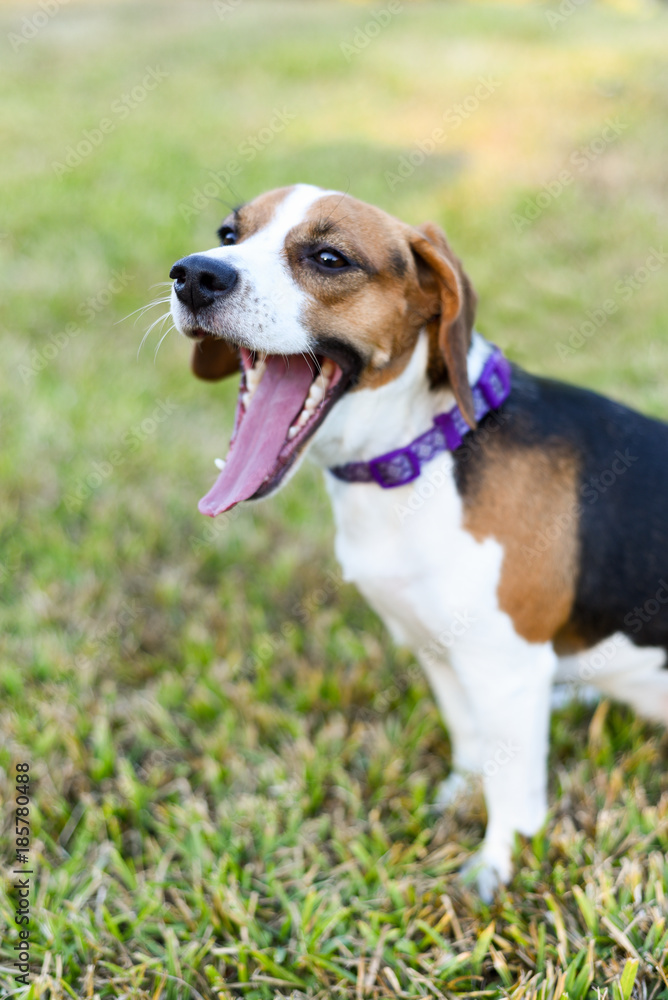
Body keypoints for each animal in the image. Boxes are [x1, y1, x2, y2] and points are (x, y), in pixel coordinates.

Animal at [168, 182, 668, 900]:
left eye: (329, 257)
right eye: (228, 235)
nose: (194, 275)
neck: (423, 454)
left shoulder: (507, 669)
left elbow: (513, 788)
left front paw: (497, 865)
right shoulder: (437, 647)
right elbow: (471, 740)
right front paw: (460, 796)